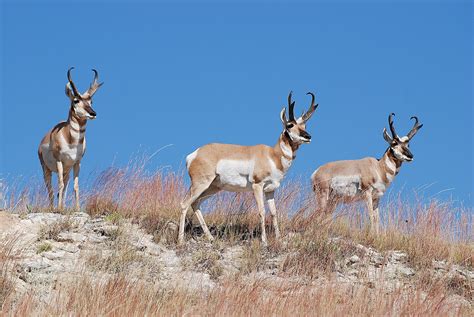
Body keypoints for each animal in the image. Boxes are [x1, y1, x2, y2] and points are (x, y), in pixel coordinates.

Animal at [38, 67, 103, 210]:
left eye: (91, 101)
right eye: (76, 100)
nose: (93, 113)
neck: (71, 141)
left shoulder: (76, 163)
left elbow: (75, 186)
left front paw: (77, 208)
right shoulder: (59, 161)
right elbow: (60, 185)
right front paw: (59, 209)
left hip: (66, 170)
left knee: (64, 188)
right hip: (47, 169)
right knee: (50, 189)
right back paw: (54, 208)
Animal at [180, 91, 320, 244]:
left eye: (304, 126)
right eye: (290, 125)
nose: (308, 136)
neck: (272, 155)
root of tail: (194, 154)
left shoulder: (270, 190)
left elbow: (274, 213)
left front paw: (278, 239)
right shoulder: (257, 186)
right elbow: (262, 211)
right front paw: (264, 241)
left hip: (213, 187)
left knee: (195, 204)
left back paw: (210, 238)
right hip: (201, 184)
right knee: (184, 204)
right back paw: (180, 240)